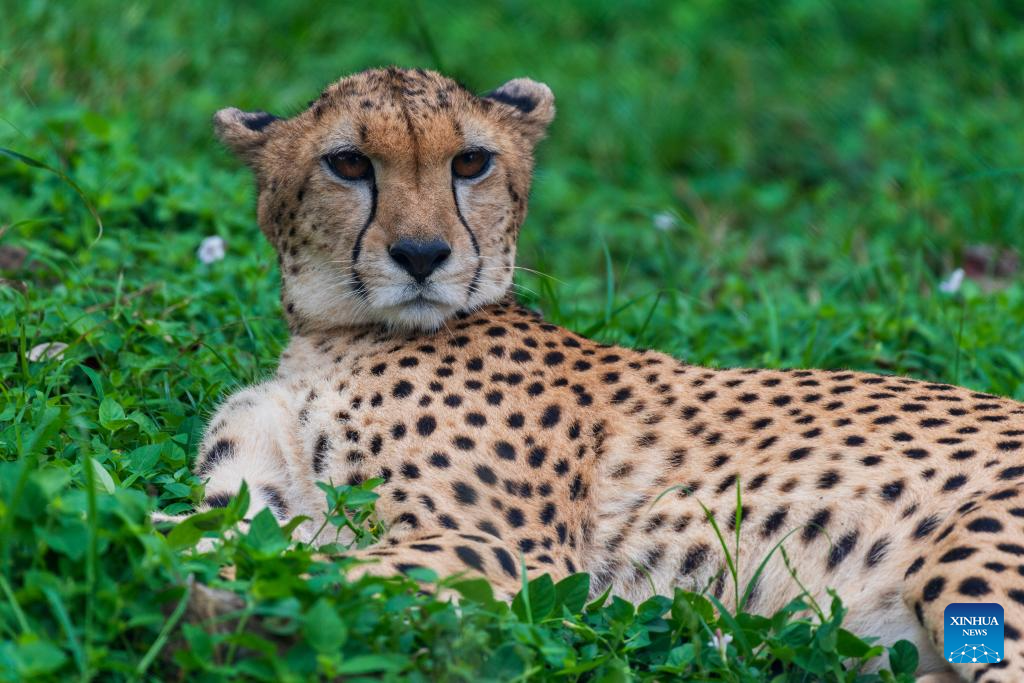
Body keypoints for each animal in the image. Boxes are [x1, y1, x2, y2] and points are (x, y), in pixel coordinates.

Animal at [168, 66, 1024, 682]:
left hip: (972, 562)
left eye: (471, 161)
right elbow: (189, 534)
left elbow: (326, 569)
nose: (422, 255)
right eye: (348, 163)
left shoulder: (518, 555)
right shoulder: (248, 497)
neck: (337, 333)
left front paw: (220, 610)